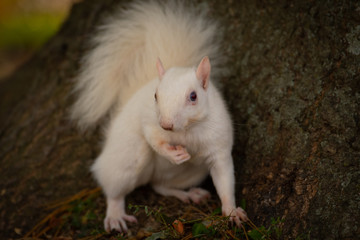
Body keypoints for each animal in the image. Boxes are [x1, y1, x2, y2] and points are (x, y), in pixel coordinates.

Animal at [71, 0, 249, 232]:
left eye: (193, 96)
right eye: (155, 95)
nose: (166, 124)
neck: (186, 130)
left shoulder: (218, 145)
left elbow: (224, 180)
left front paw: (232, 211)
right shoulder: (149, 120)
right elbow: (153, 138)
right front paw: (172, 154)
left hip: (190, 173)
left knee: (159, 186)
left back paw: (189, 194)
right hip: (128, 160)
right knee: (115, 190)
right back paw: (115, 214)